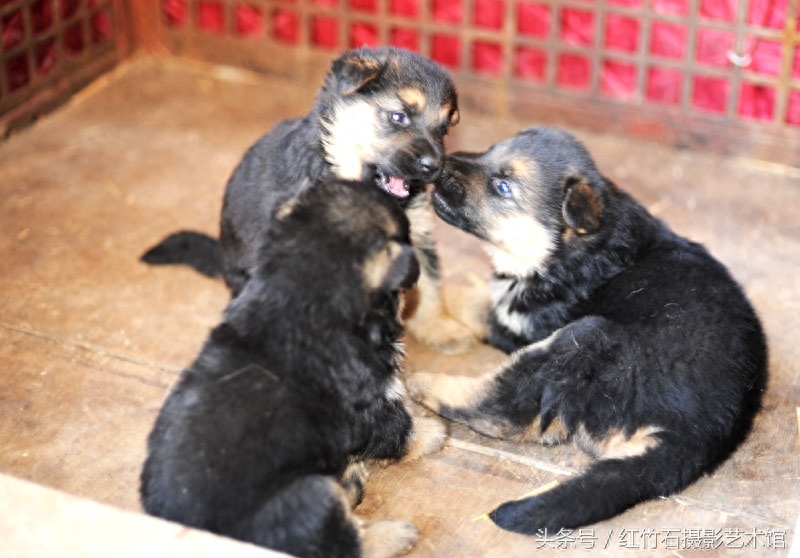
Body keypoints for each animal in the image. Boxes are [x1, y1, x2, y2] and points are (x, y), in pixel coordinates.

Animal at [141, 180, 446, 558]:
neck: (304, 292)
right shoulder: (371, 403)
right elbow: (402, 430)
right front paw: (433, 433)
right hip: (308, 500)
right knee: (341, 542)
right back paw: (395, 532)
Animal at [143, 47, 476, 354]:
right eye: (399, 116)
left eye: (443, 130)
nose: (435, 167)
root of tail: (223, 257)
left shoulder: (416, 235)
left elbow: (431, 284)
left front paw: (442, 328)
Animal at [406, 129, 768, 536]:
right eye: (489, 150)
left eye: (503, 187)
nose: (438, 165)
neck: (571, 248)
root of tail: (691, 434)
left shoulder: (526, 322)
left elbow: (482, 302)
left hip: (584, 337)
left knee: (503, 407)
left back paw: (423, 383)